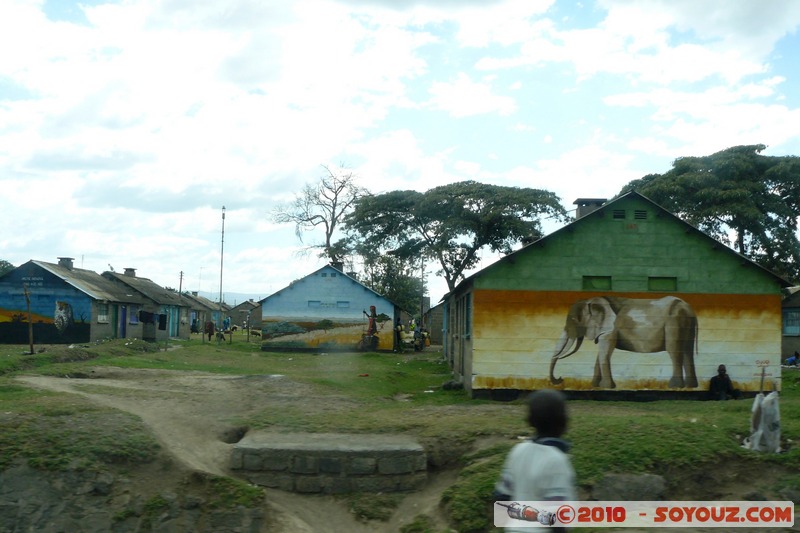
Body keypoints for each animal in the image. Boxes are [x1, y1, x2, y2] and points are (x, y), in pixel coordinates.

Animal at [552, 296, 696, 386]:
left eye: (574, 320)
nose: (560, 378)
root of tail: (688, 308)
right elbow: (601, 354)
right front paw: (594, 385)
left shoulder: (610, 329)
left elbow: (605, 353)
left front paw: (605, 387)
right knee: (688, 351)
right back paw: (690, 386)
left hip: (674, 322)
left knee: (674, 350)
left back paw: (674, 386)